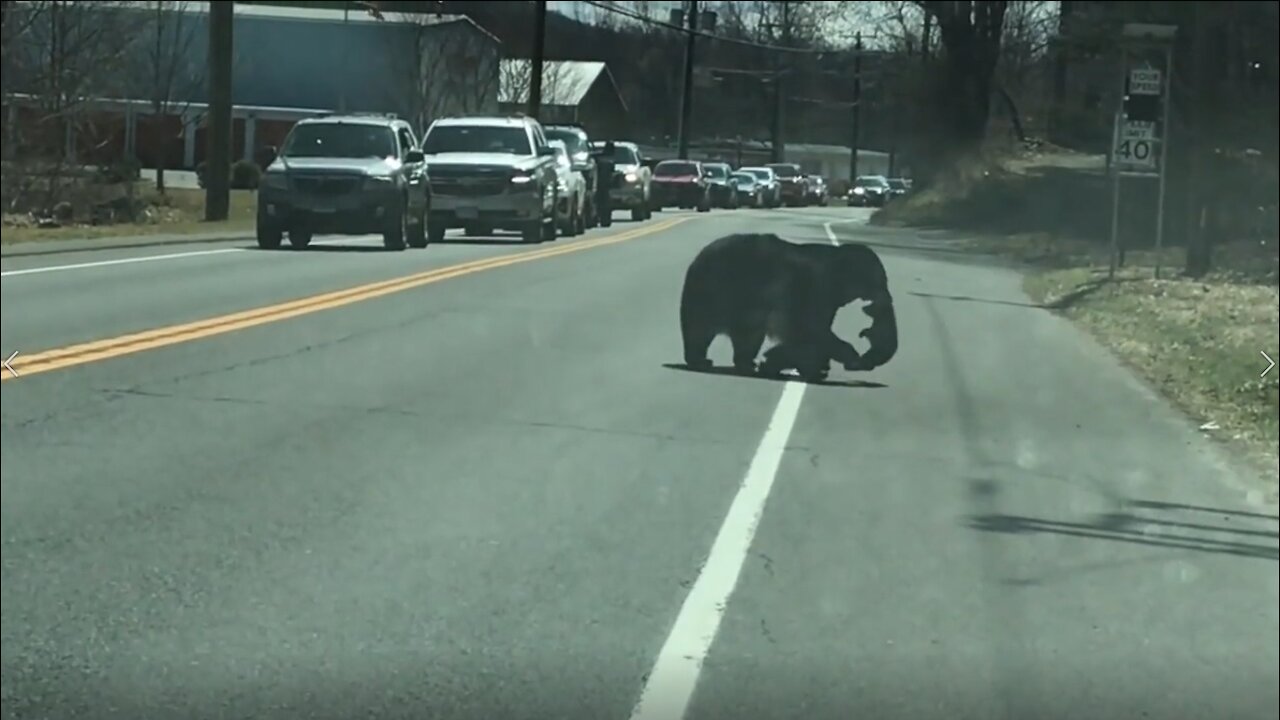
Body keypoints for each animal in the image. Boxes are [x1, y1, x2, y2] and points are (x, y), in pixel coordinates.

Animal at [680, 234, 901, 381]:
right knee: (699, 329)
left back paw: (747, 363)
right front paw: (852, 358)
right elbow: (809, 328)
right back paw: (701, 360)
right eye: (879, 281)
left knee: (749, 336)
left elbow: (813, 333)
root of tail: (697, 259)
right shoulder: (814, 282)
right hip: (716, 290)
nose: (886, 298)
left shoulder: (828, 297)